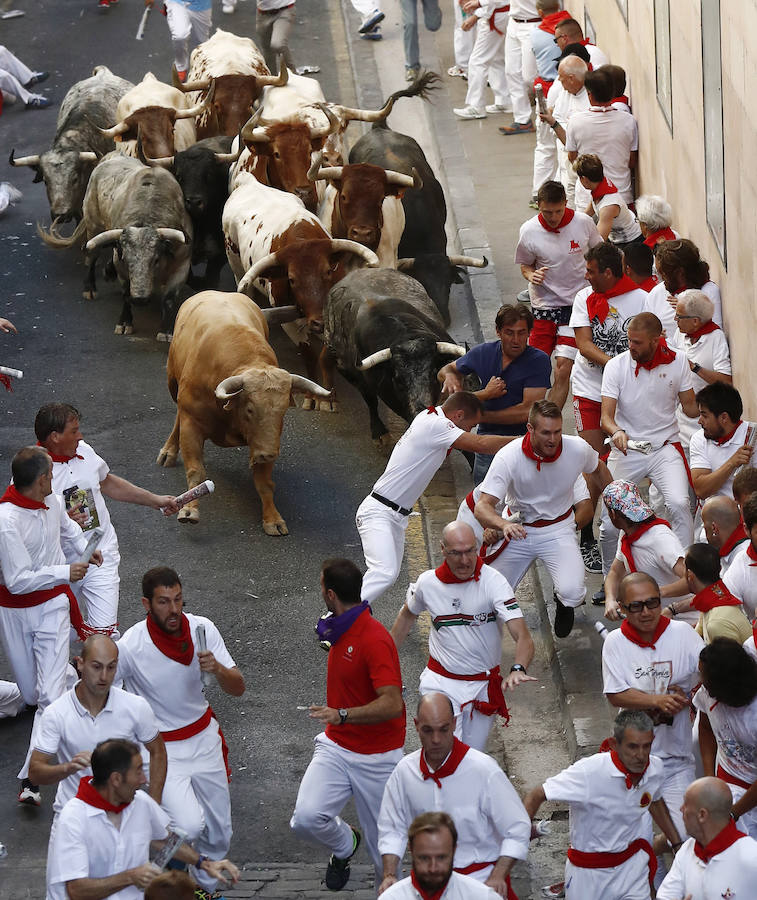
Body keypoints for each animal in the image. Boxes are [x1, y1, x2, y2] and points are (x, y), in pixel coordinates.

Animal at [155, 290, 330, 536]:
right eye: (250, 409)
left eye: (283, 411)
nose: (269, 454)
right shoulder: (192, 423)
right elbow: (196, 472)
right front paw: (189, 510)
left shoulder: (264, 439)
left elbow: (265, 483)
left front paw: (272, 518)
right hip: (173, 382)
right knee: (178, 416)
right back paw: (168, 451)